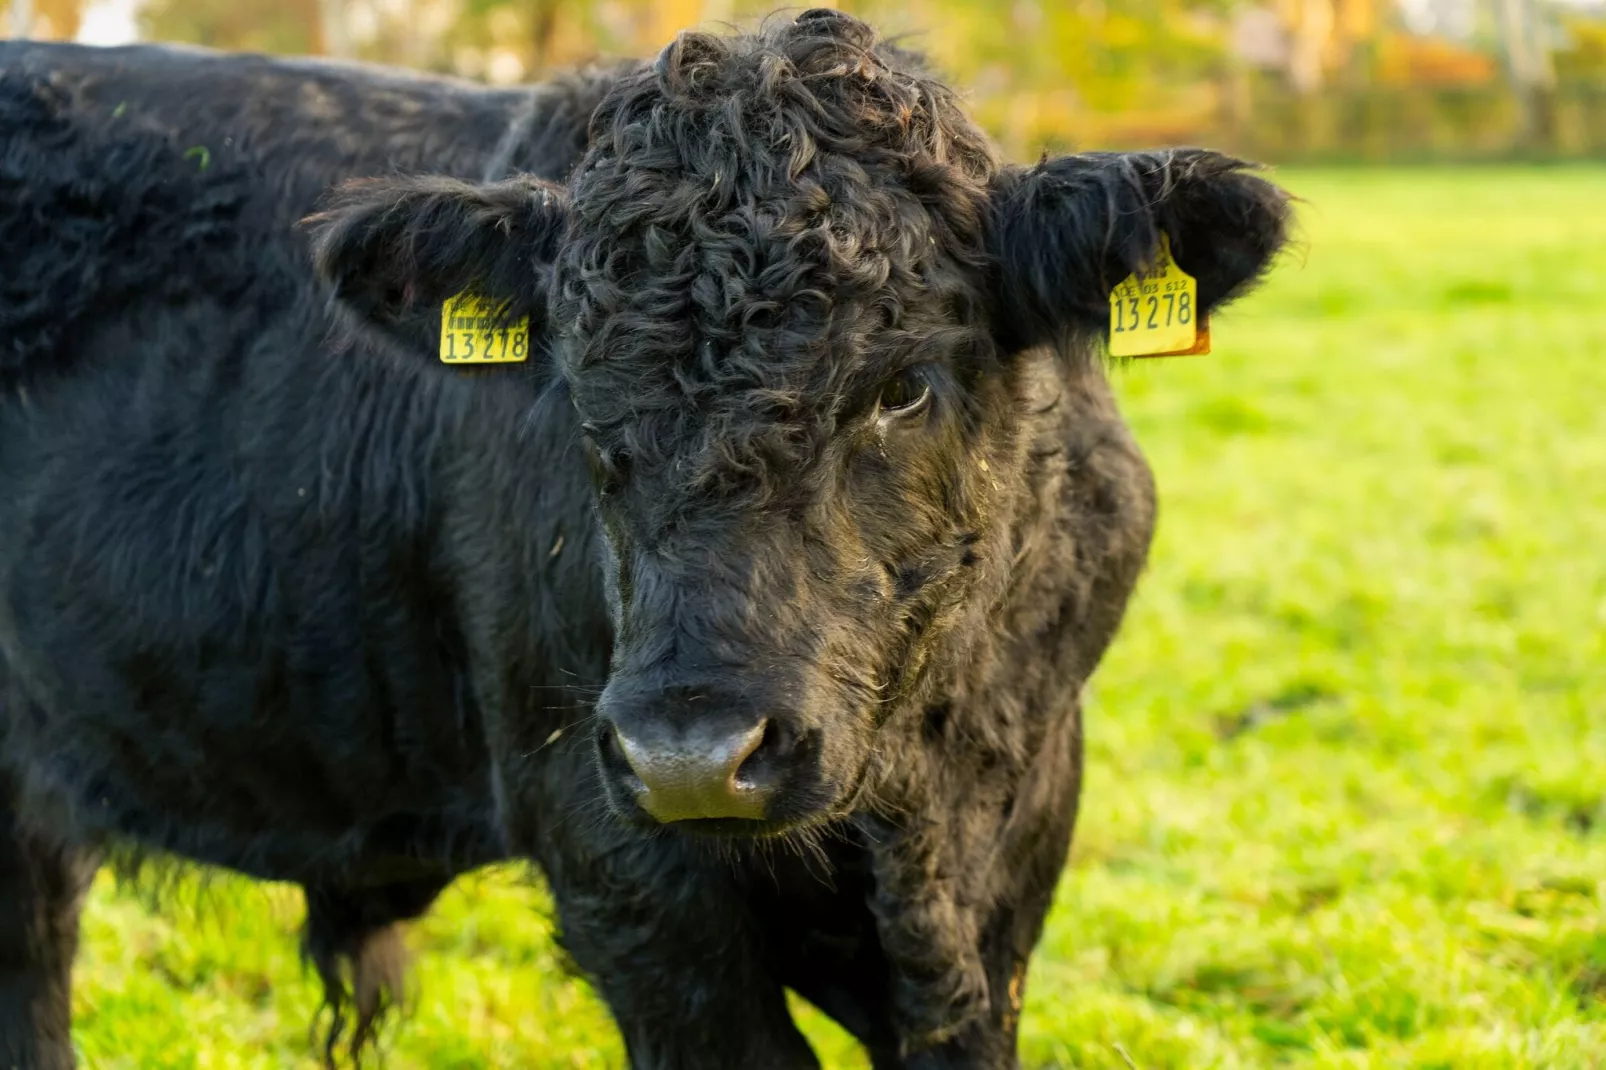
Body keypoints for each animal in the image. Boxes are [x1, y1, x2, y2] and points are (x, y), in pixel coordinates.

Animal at [0, 10, 1284, 1066]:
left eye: (903, 384)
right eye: (577, 382)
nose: (690, 752)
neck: (907, 799)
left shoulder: (1011, 856)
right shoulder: (615, 857)